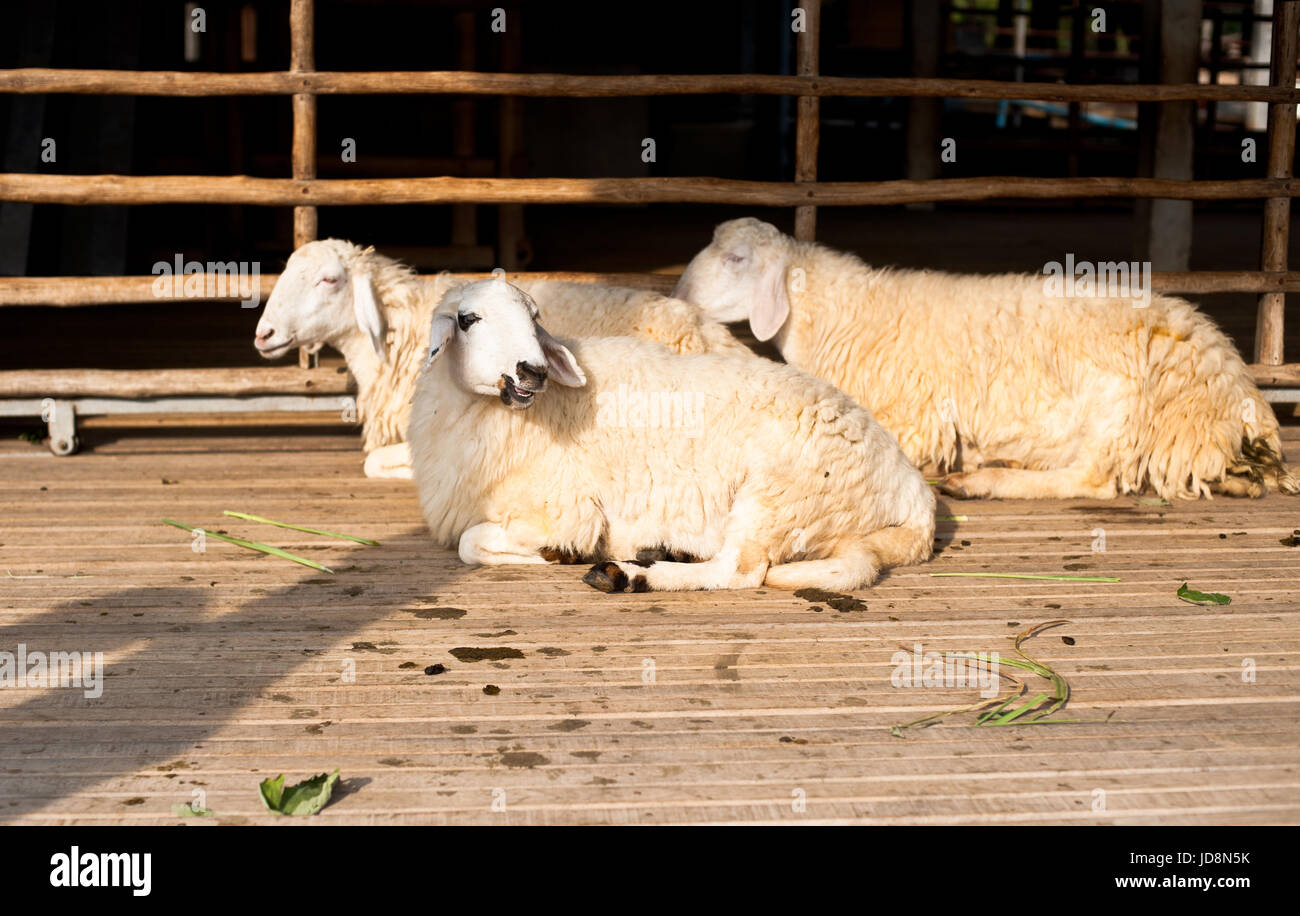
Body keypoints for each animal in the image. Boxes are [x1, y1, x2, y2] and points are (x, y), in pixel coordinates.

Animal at [407, 276, 935, 592]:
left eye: (535, 319)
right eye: (467, 319)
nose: (532, 371)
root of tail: (915, 495)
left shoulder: (561, 508)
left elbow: (471, 544)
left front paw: (561, 554)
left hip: (780, 494)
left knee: (738, 573)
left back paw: (631, 574)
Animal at [673, 217, 1299, 501]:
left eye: (736, 259)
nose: (678, 293)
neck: (840, 313)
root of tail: (1236, 386)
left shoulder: (911, 418)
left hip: (1119, 404)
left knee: (1092, 479)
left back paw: (983, 480)